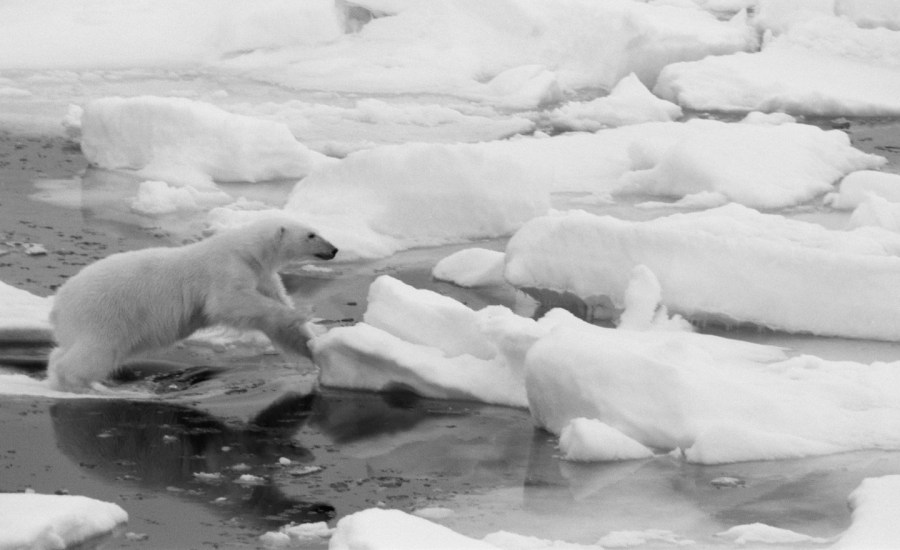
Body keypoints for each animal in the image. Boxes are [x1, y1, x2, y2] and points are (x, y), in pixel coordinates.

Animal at [44, 220, 338, 392]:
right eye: (312, 234)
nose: (334, 249)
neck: (248, 251)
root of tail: (59, 304)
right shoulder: (225, 269)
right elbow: (227, 303)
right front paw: (302, 312)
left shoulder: (263, 275)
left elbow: (277, 321)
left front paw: (312, 346)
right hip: (103, 313)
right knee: (95, 352)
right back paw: (84, 385)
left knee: (68, 350)